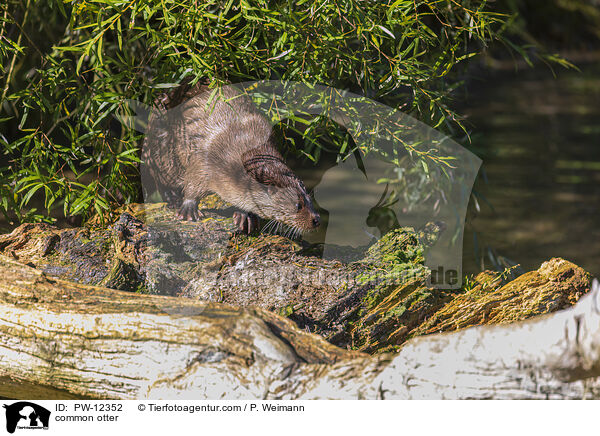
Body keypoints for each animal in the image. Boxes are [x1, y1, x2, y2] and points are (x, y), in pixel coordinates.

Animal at [142, 84, 318, 235]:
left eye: (310, 199)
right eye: (298, 205)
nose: (316, 220)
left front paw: (245, 216)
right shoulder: (204, 159)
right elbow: (193, 181)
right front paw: (189, 208)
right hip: (161, 152)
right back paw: (172, 198)